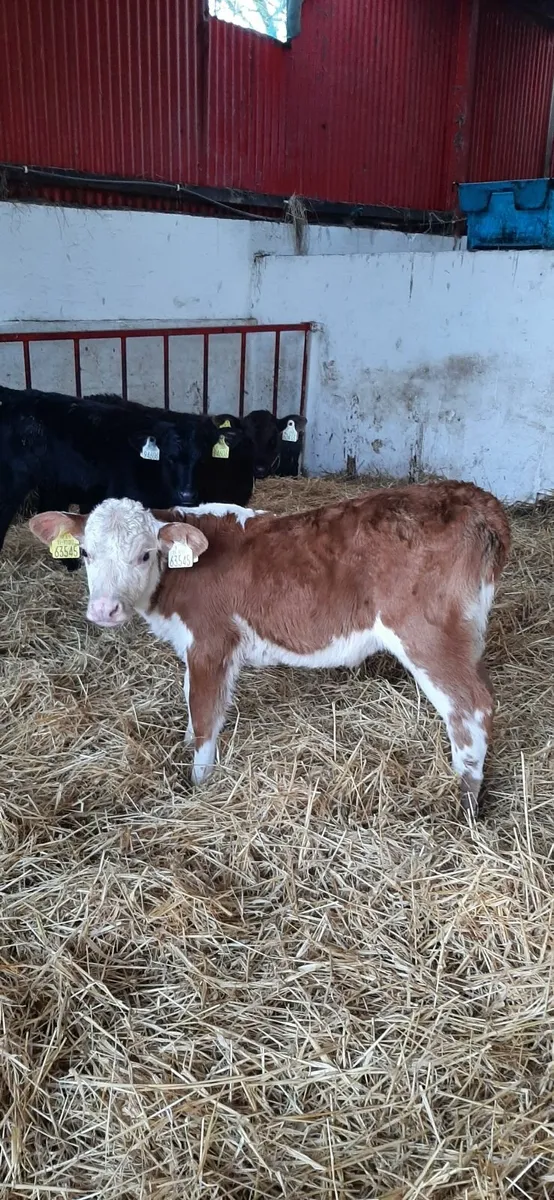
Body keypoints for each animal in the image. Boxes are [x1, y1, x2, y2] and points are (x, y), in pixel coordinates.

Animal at [29, 480, 510, 817]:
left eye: (145, 554)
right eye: (85, 553)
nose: (104, 609)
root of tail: (472, 496)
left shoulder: (211, 642)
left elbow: (206, 715)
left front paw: (199, 785)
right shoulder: (194, 646)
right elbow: (190, 699)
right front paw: (184, 742)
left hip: (428, 638)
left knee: (471, 708)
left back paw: (464, 804)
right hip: (465, 637)